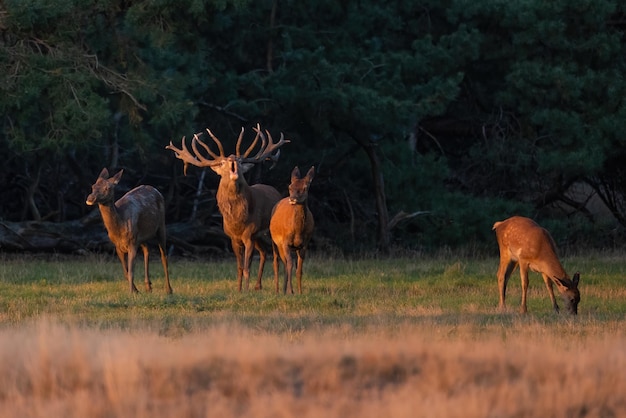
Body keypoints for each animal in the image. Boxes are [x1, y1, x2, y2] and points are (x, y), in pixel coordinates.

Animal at [166, 124, 288, 290]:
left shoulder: (249, 234)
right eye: (222, 163)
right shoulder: (233, 237)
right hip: (258, 236)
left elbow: (247, 267)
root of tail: (276, 191)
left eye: (240, 161)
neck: (237, 220)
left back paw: (276, 288)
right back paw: (258, 286)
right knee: (264, 252)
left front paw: (246, 290)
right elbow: (240, 267)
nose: (232, 159)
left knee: (276, 258)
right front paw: (239, 289)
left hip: (271, 230)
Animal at [270, 166, 314, 294]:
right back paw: (278, 290)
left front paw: (299, 291)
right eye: (290, 187)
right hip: (274, 242)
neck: (298, 231)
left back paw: (285, 290)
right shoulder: (285, 242)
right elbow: (289, 265)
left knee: (286, 264)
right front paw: (291, 291)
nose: (292, 199)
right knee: (277, 263)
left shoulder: (304, 244)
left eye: (305, 188)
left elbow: (299, 269)